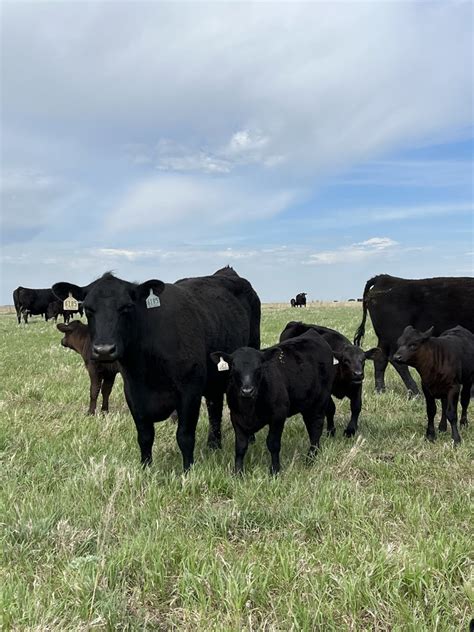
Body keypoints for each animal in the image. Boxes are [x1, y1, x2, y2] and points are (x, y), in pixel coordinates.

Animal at [53, 266, 262, 470]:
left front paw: (188, 470)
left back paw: (248, 437)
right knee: (214, 407)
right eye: (88, 309)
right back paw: (213, 445)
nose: (104, 350)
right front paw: (146, 468)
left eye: (127, 307)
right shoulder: (133, 394)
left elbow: (185, 436)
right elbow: (145, 436)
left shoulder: (190, 392)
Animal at [209, 328, 336, 472]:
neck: (249, 409)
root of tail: (312, 333)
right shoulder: (236, 417)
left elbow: (273, 444)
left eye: (259, 367)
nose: (247, 391)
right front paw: (238, 472)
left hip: (320, 400)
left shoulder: (278, 416)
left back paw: (311, 458)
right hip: (307, 403)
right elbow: (240, 447)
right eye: (233, 367)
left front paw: (275, 470)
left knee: (316, 428)